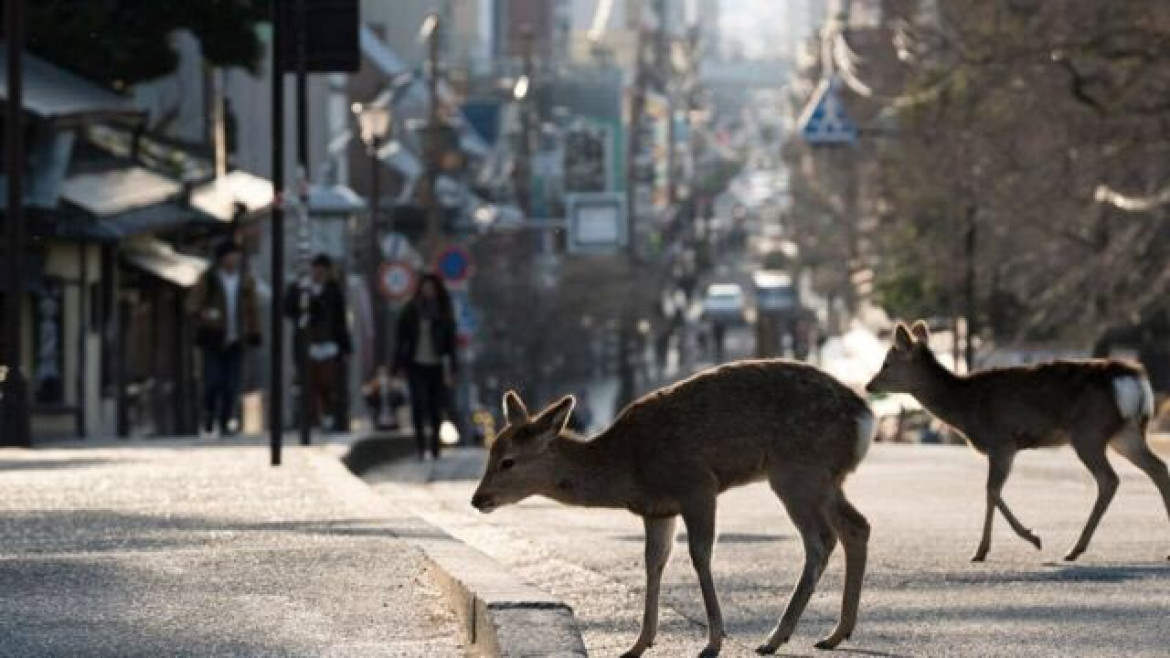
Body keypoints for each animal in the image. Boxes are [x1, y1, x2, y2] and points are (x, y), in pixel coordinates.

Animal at [470, 358, 875, 655]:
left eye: (507, 461)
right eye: (491, 452)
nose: (478, 499)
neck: (629, 469)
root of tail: (865, 418)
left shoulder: (697, 485)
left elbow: (700, 555)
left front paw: (712, 642)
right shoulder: (657, 510)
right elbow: (654, 562)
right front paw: (637, 645)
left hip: (797, 471)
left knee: (820, 540)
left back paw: (775, 638)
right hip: (826, 478)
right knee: (856, 526)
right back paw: (835, 634)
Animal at [865, 318, 1165, 557]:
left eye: (887, 363)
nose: (869, 385)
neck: (964, 407)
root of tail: (1133, 379)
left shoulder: (1001, 442)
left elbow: (991, 491)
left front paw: (1023, 540)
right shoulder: (1003, 447)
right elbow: (992, 492)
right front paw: (988, 548)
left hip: (1088, 432)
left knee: (1109, 479)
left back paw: (1075, 549)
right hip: (1125, 433)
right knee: (1158, 468)